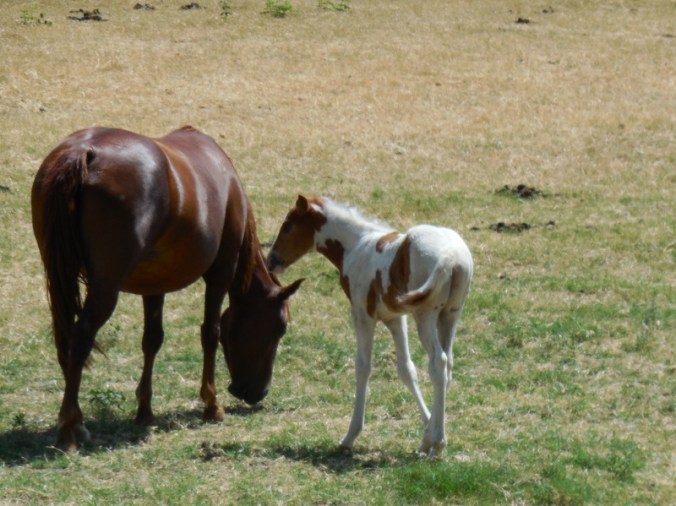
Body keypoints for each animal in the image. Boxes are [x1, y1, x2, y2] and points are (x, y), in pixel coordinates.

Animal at [31, 126, 303, 451]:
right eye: (280, 328)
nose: (257, 393)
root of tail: (85, 151)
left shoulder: (154, 285)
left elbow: (152, 340)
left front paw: (145, 410)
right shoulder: (221, 273)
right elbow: (210, 333)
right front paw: (211, 405)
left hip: (60, 277)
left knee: (66, 337)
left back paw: (78, 422)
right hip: (105, 289)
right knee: (81, 336)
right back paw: (69, 429)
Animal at [267, 195, 473, 458]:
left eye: (287, 226)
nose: (271, 261)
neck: (356, 245)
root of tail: (450, 256)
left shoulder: (362, 315)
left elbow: (363, 367)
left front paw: (350, 436)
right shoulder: (395, 318)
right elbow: (406, 369)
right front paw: (426, 428)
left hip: (425, 316)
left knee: (438, 362)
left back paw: (436, 442)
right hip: (450, 316)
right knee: (447, 365)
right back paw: (435, 441)